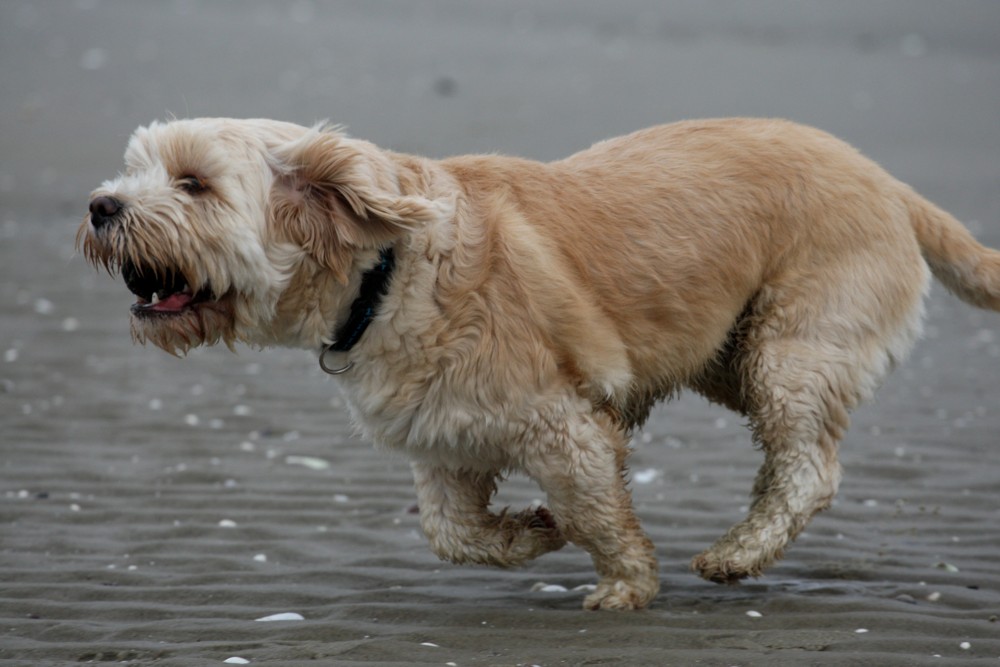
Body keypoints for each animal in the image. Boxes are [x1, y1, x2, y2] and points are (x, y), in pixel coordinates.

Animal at [80, 116, 1000, 612]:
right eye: (136, 170)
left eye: (193, 183)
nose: (99, 205)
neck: (387, 271)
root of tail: (887, 181)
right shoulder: (445, 443)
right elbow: (452, 534)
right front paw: (533, 531)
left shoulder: (563, 428)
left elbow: (598, 510)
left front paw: (626, 584)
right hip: (729, 357)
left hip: (792, 349)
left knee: (810, 466)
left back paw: (738, 552)